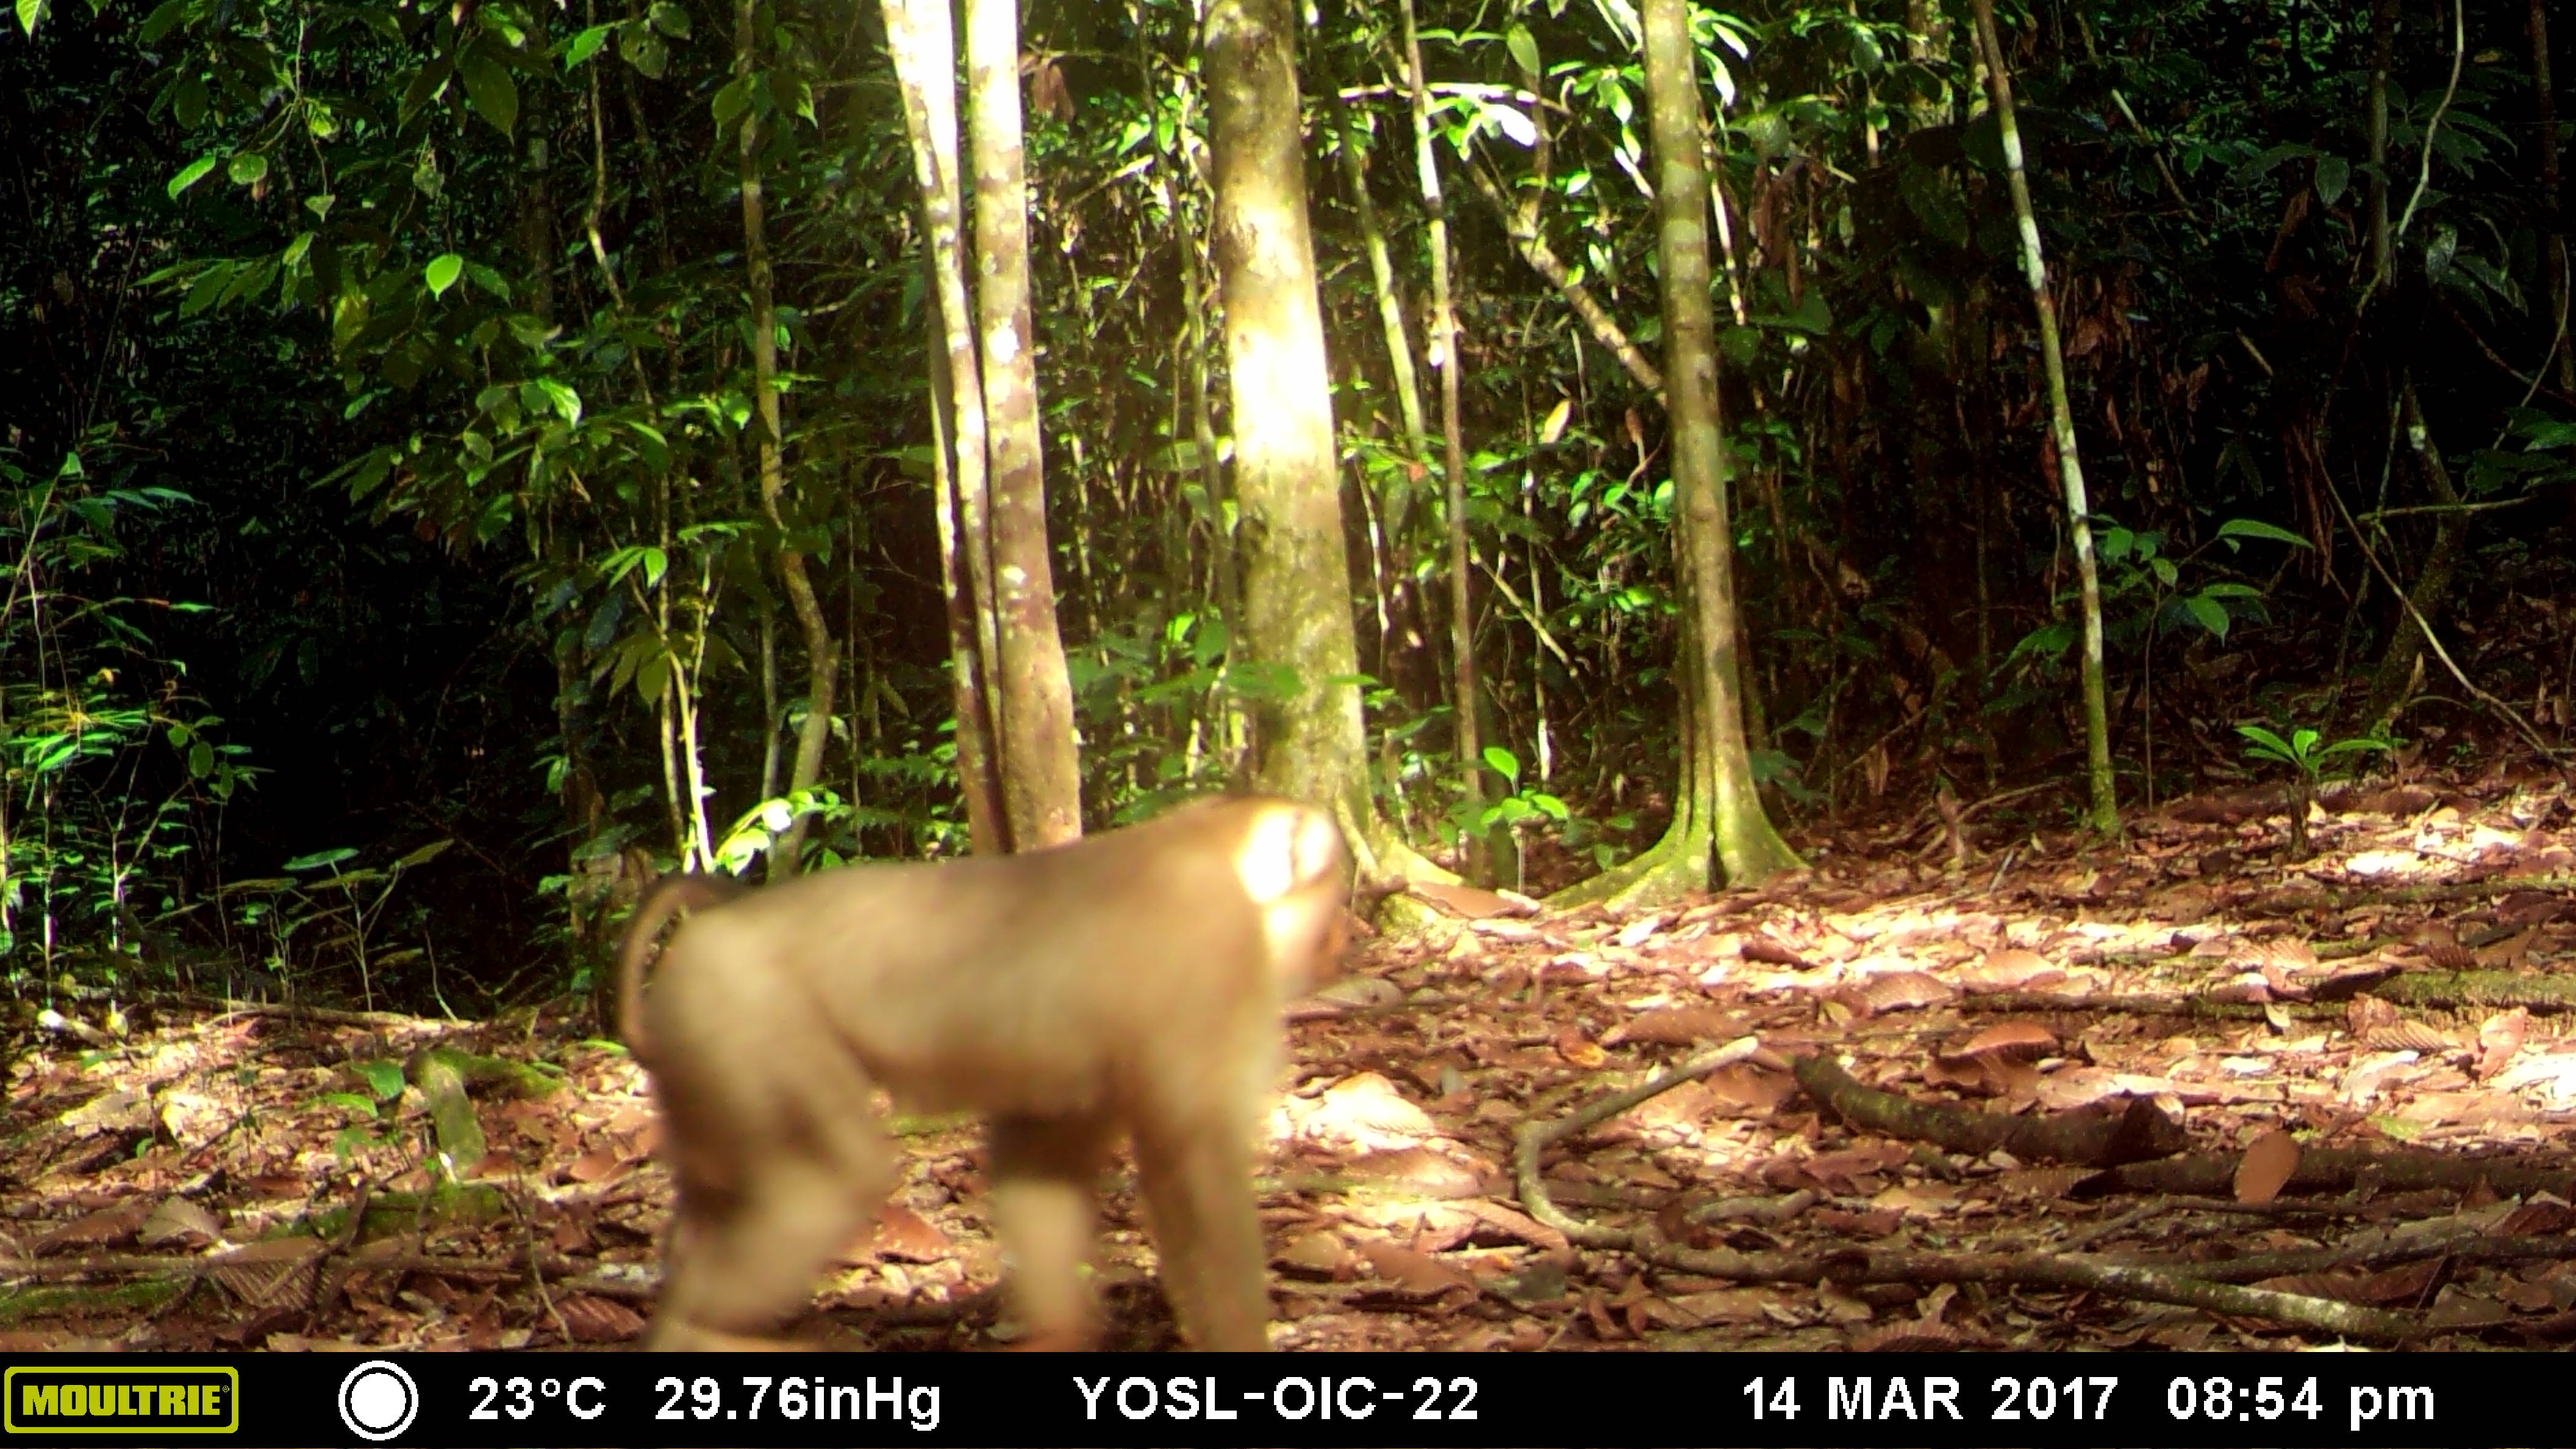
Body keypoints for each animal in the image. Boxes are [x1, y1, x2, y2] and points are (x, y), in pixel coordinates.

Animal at [613, 794, 1351, 1352]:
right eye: (1331, 897)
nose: (1338, 942)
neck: (1212, 847)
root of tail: (719, 923)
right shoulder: (1212, 960)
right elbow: (1194, 1165)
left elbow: (1040, 1167)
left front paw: (1061, 1334)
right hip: (746, 1018)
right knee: (826, 1180)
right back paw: (702, 1331)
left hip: (703, 1053)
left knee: (718, 1187)